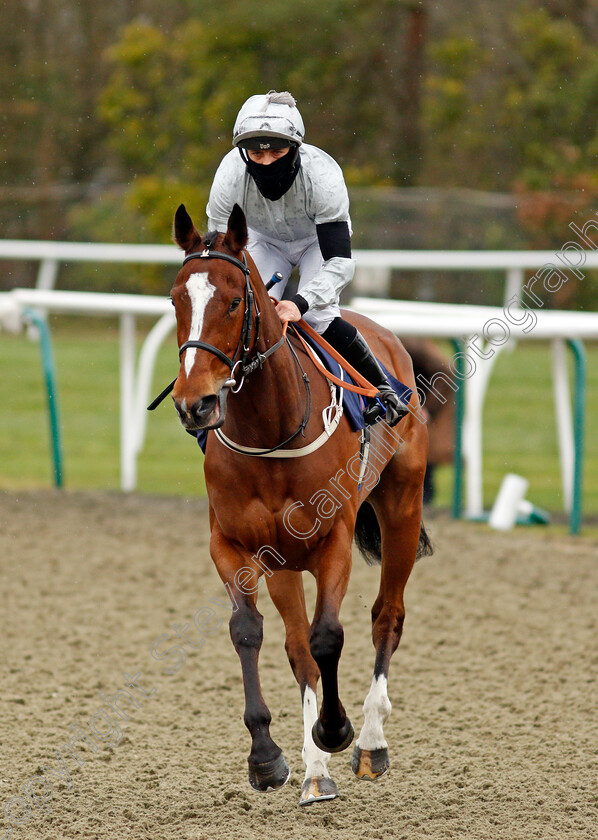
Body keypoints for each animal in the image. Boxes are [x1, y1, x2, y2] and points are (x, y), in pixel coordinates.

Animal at [166, 203, 434, 808]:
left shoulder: (333, 542)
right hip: (285, 561)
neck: (272, 431)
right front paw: (268, 758)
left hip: (402, 508)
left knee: (387, 616)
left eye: (233, 301)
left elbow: (328, 635)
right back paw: (315, 773)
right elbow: (253, 633)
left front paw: (335, 730)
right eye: (175, 300)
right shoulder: (234, 546)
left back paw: (370, 743)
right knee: (296, 647)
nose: (195, 405)